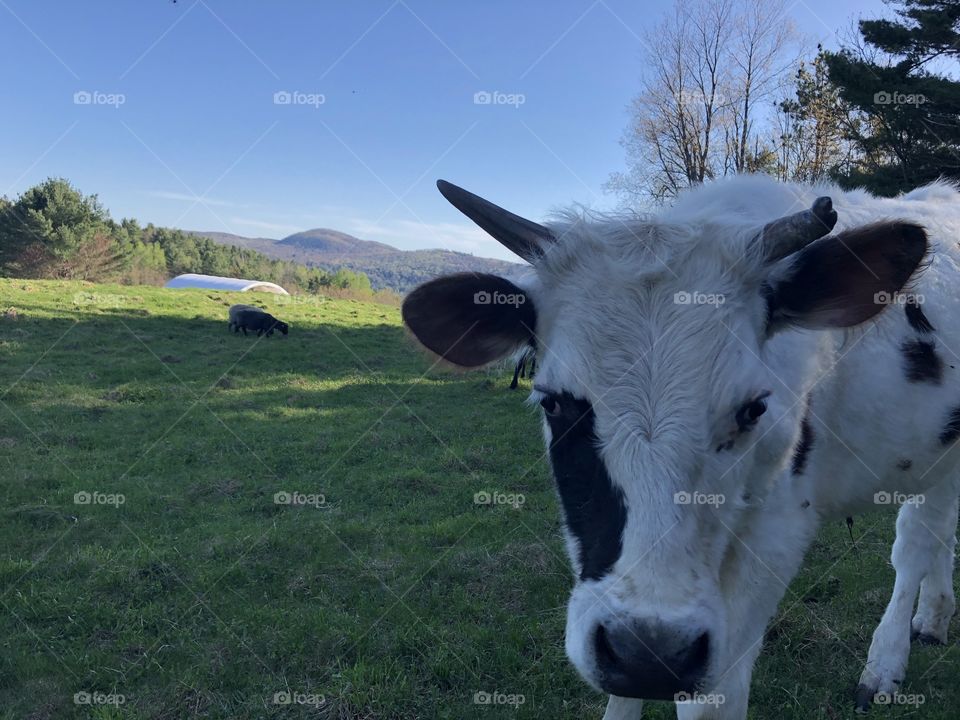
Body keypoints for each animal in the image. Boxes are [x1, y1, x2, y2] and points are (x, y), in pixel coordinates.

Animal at [401, 175, 960, 719]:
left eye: (754, 408)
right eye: (553, 403)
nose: (650, 653)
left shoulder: (776, 536)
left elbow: (711, 699)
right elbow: (622, 692)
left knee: (914, 543)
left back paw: (884, 664)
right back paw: (933, 616)